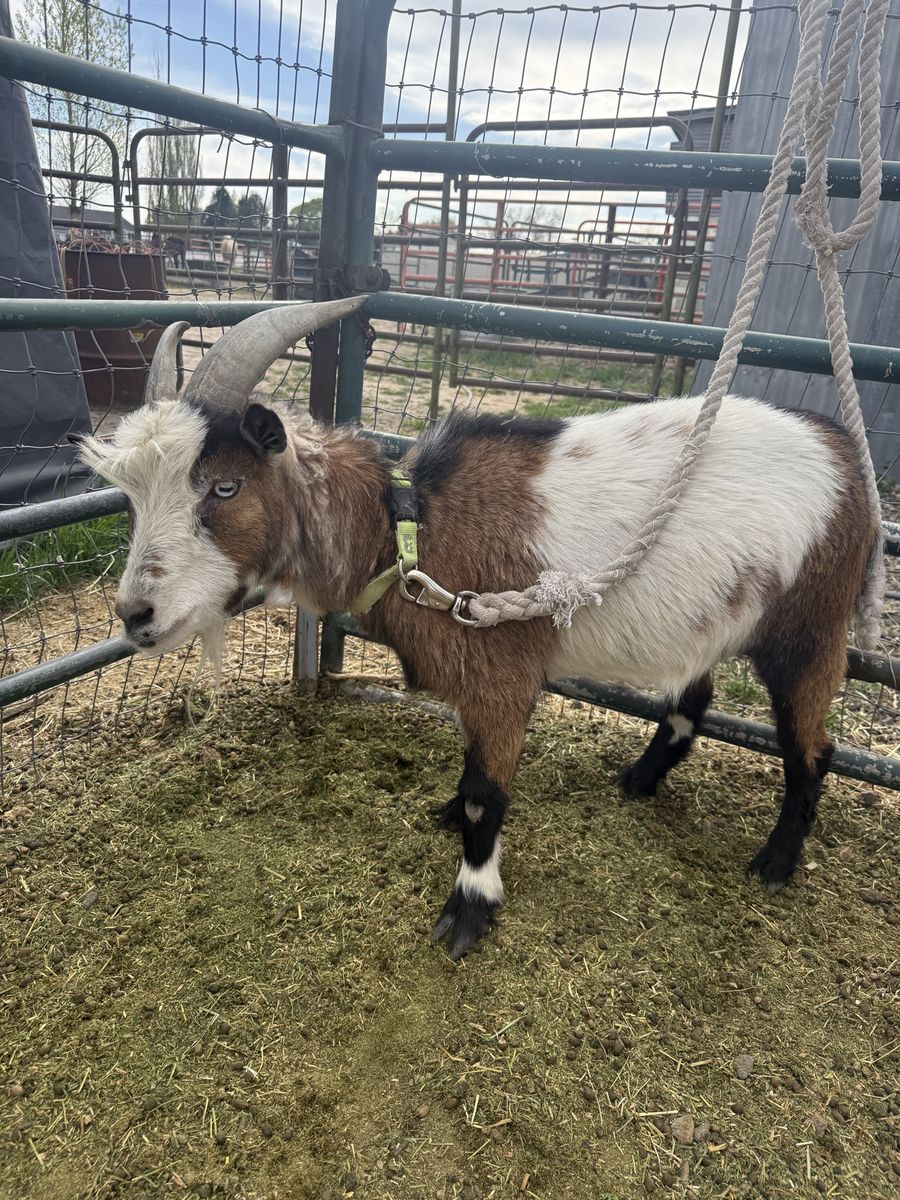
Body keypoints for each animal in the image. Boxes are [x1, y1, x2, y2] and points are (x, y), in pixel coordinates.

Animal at [76, 297, 879, 959]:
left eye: (224, 485)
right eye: (132, 496)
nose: (135, 616)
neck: (411, 535)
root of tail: (845, 454)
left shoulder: (501, 676)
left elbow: (483, 796)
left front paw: (469, 905)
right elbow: (468, 774)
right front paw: (445, 821)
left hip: (810, 627)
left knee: (815, 749)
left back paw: (775, 863)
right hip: (709, 616)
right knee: (696, 696)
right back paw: (640, 780)